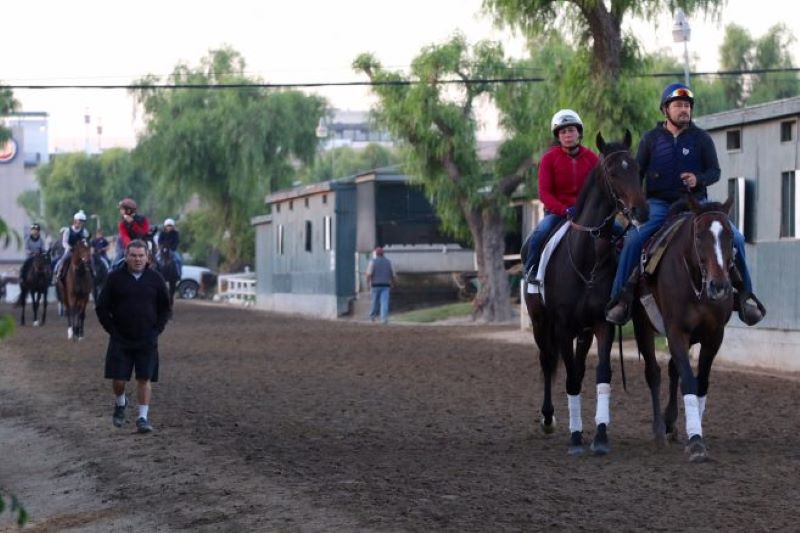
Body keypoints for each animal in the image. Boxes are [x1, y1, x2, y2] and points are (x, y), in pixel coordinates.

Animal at [520, 131, 648, 456]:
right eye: (613, 172)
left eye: (637, 169)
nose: (642, 211)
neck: (587, 258)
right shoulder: (562, 327)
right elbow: (570, 381)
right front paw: (576, 438)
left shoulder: (602, 324)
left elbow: (601, 376)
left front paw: (600, 435)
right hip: (541, 323)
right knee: (547, 361)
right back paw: (548, 419)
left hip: (584, 331)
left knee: (575, 366)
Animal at [632, 195, 736, 462]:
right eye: (699, 236)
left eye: (730, 235)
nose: (719, 286)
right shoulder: (676, 331)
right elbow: (688, 381)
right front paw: (696, 441)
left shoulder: (714, 335)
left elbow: (700, 382)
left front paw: (694, 432)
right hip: (642, 325)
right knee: (653, 372)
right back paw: (660, 430)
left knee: (672, 369)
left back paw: (670, 423)